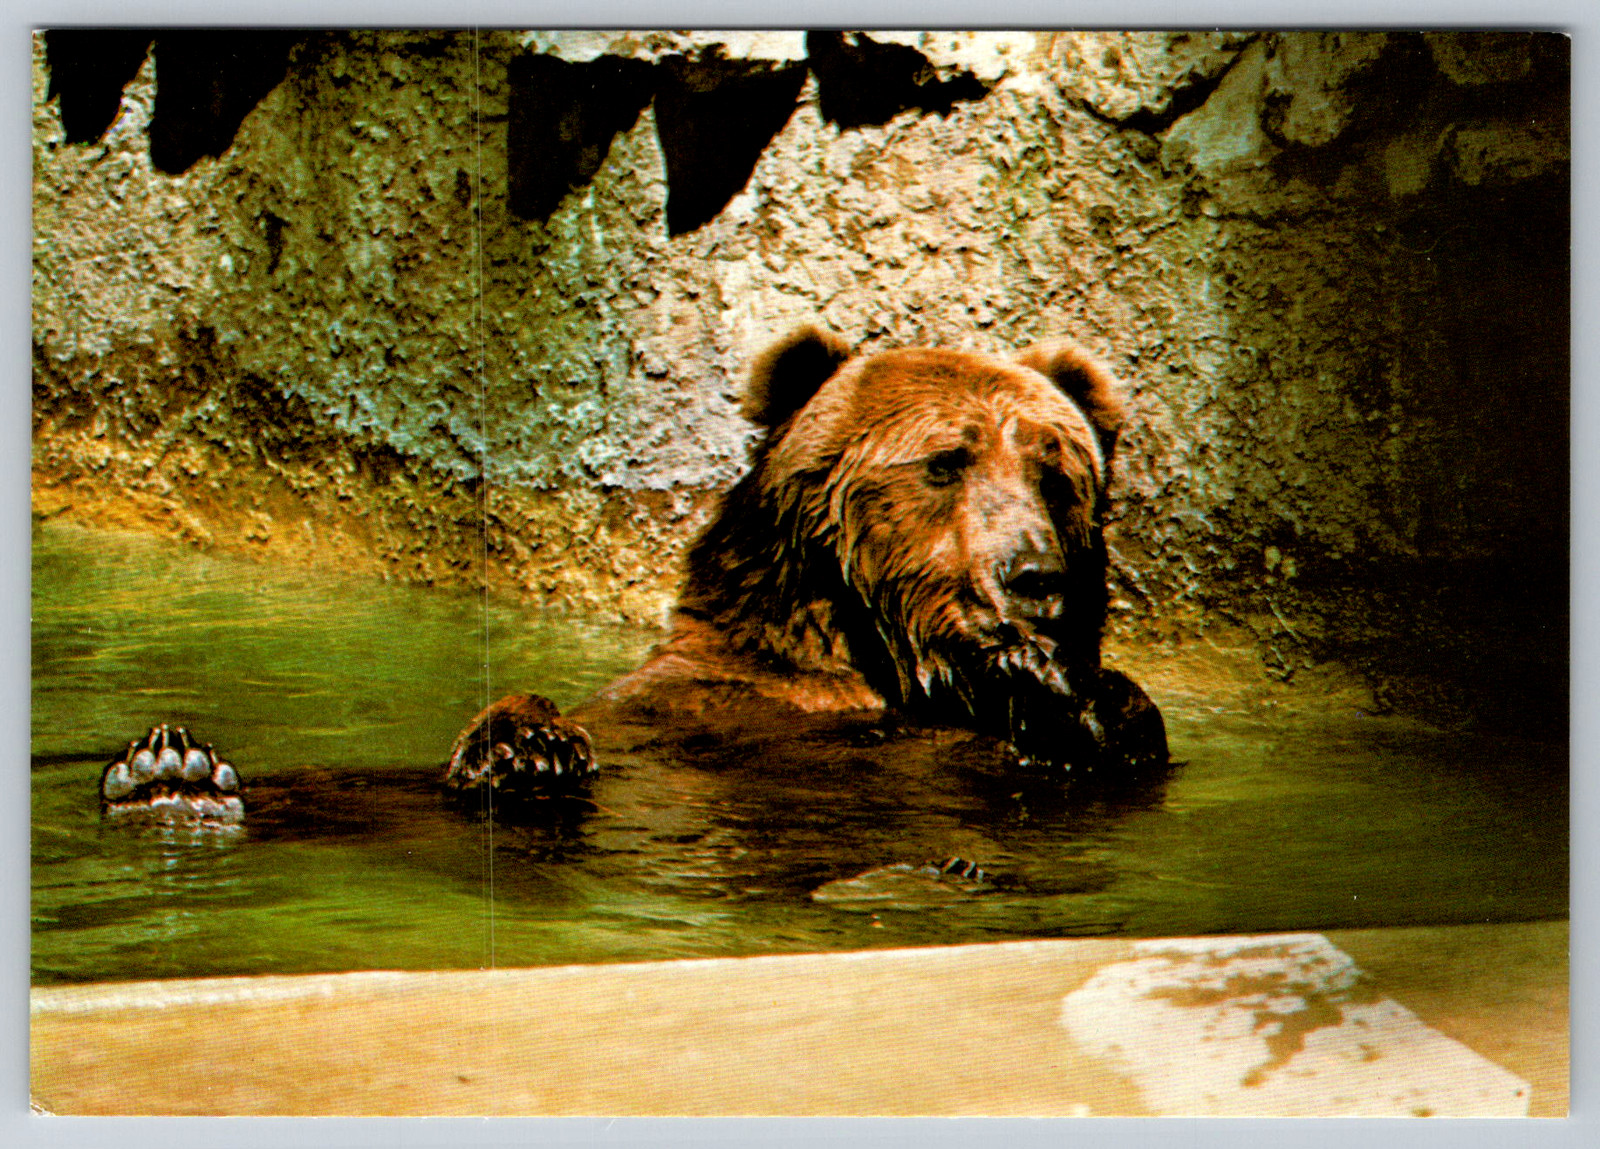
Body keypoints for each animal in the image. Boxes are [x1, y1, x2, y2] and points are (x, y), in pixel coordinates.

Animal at [439, 324, 1168, 807]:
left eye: (1053, 473)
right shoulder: (697, 703)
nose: (1035, 575)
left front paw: (1077, 695)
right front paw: (529, 747)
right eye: (945, 463)